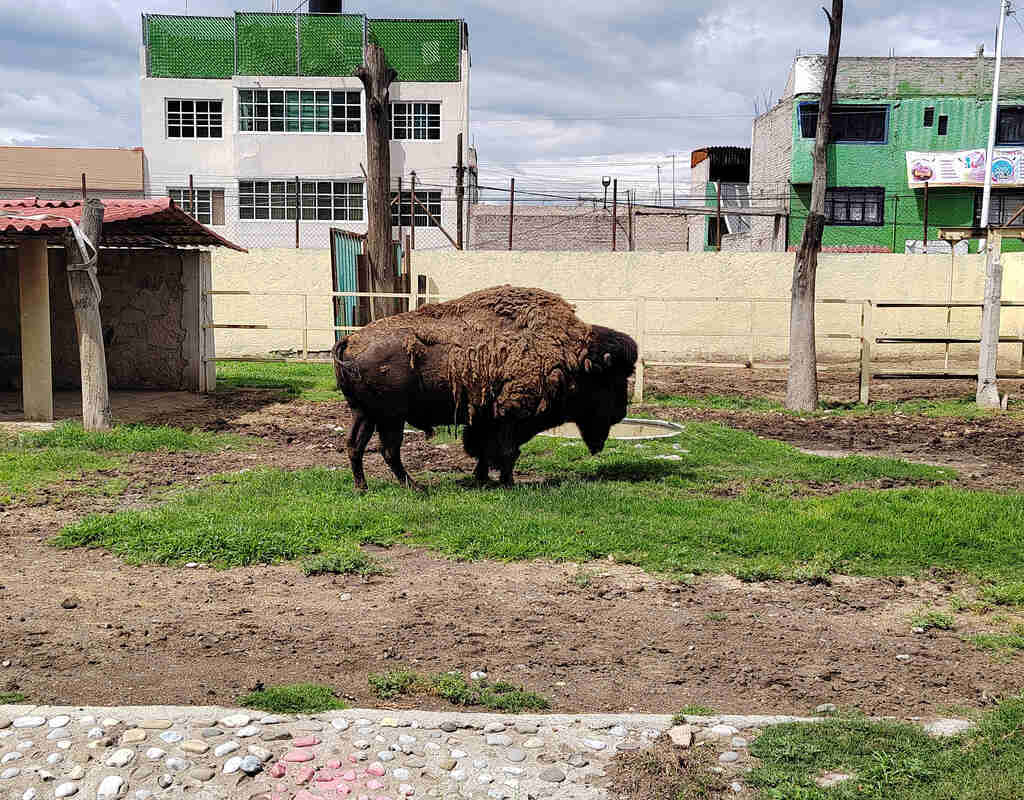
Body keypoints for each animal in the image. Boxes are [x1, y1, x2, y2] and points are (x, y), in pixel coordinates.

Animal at [331, 284, 634, 489]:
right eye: (612, 380)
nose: (621, 412)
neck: (570, 357)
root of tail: (351, 339)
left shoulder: (487, 418)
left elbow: (485, 450)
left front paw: (483, 477)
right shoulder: (511, 415)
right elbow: (507, 451)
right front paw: (508, 483)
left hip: (365, 414)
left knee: (355, 446)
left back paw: (363, 487)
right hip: (390, 418)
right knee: (389, 451)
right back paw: (416, 487)